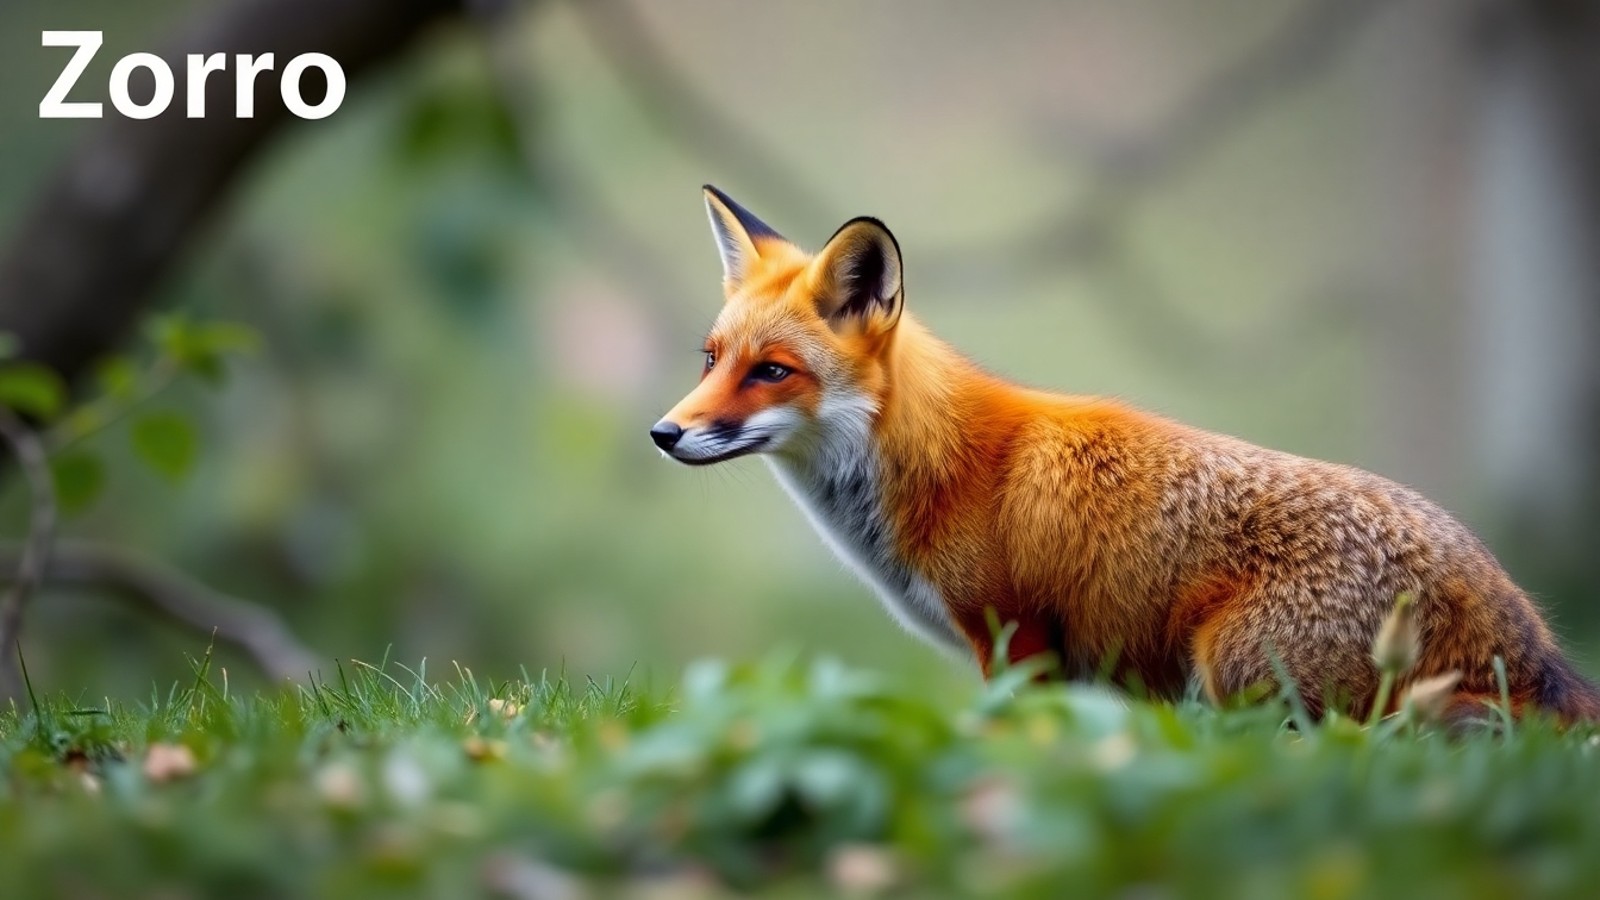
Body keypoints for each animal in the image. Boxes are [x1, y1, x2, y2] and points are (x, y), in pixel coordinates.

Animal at [649, 184, 1600, 723]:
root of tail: (1516, 618)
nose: (664, 433)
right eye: (711, 359)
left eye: (771, 372)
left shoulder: (1017, 640)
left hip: (1241, 676)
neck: (935, 464)